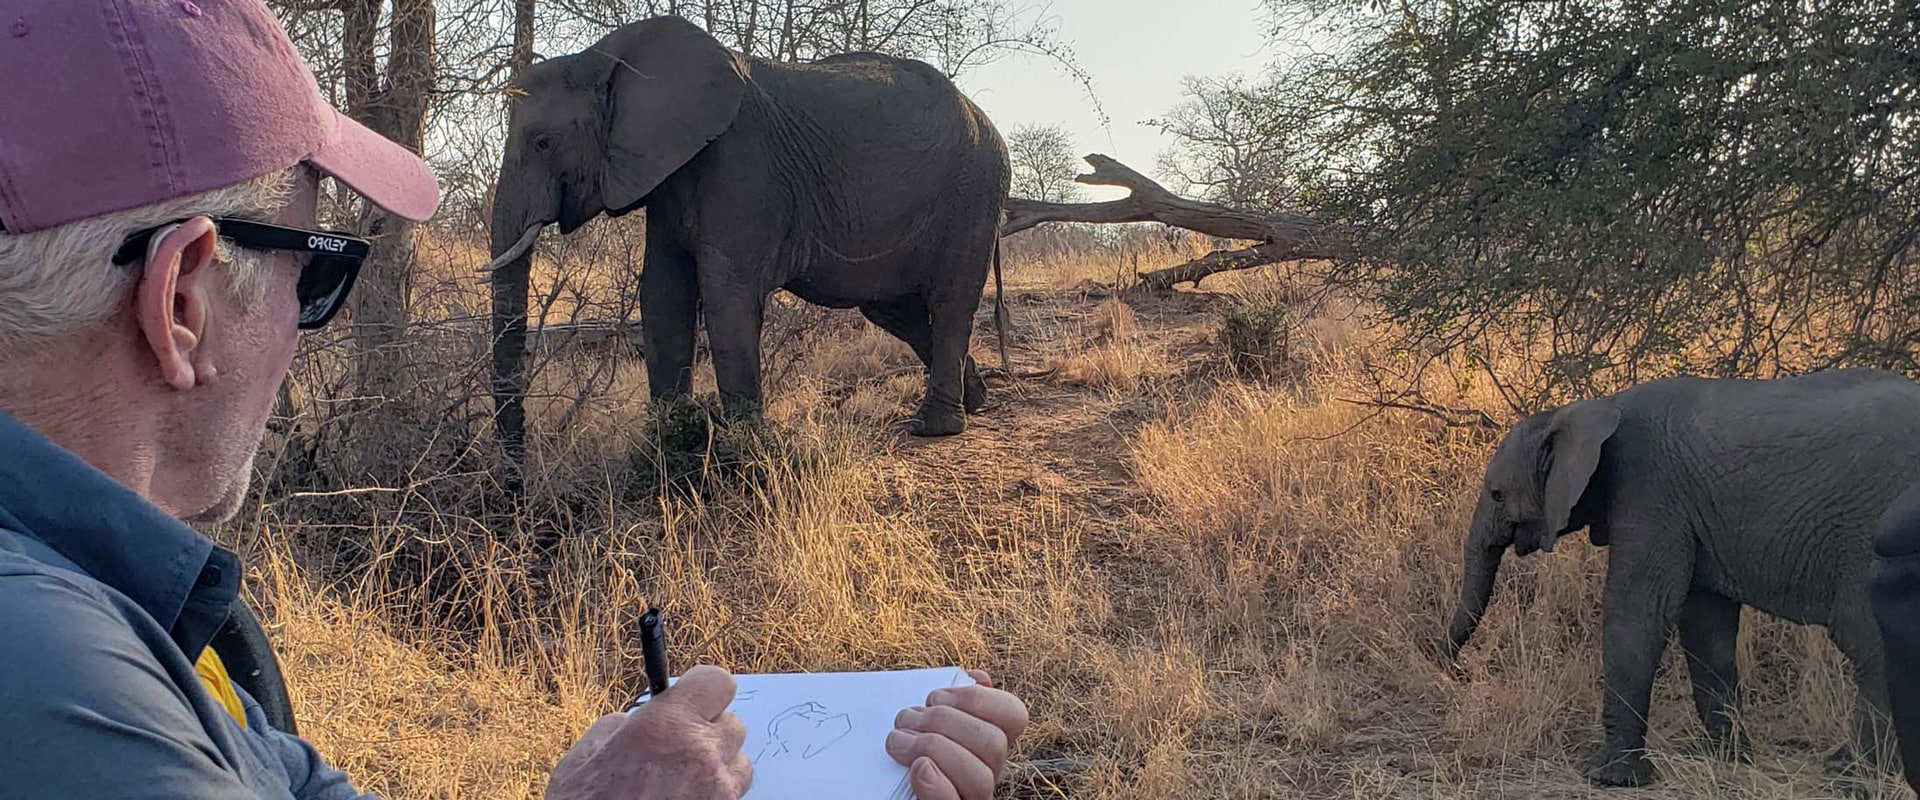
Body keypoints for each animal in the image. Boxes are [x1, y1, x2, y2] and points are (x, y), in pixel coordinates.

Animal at [484, 14, 1012, 473]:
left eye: (543, 143)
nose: (515, 488)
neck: (605, 58)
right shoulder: (667, 178)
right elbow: (664, 295)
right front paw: (663, 450)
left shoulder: (741, 167)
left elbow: (726, 295)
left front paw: (743, 453)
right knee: (894, 310)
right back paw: (975, 399)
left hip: (972, 191)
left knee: (949, 301)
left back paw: (935, 427)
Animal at [1438, 367, 1920, 787]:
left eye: (1497, 494)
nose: (1452, 670)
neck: (1590, 410)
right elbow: (1705, 623)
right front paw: (1728, 758)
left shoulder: (1648, 489)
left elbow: (1637, 611)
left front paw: (1613, 778)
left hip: (1874, 533)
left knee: (1873, 643)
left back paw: (1856, 778)